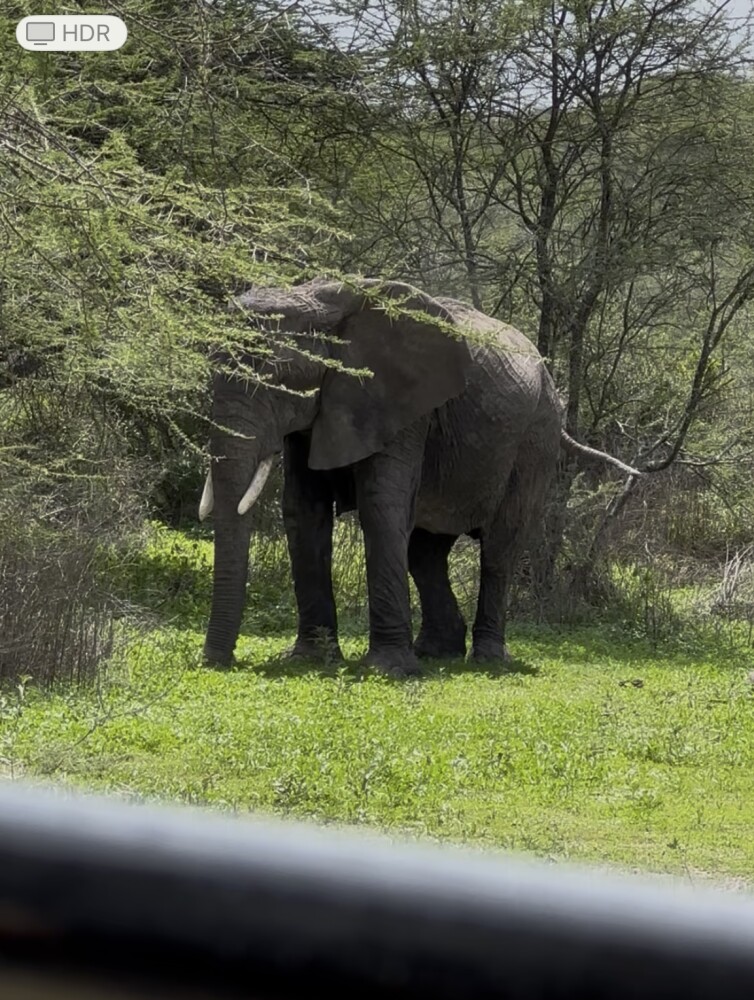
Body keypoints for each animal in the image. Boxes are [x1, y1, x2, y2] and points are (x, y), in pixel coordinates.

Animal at [200, 278, 639, 675]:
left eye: (277, 372)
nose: (215, 663)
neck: (322, 300)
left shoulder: (404, 407)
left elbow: (381, 506)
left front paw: (388, 669)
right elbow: (304, 512)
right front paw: (309, 659)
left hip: (535, 438)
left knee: (499, 548)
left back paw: (487, 660)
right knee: (425, 553)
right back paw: (436, 652)